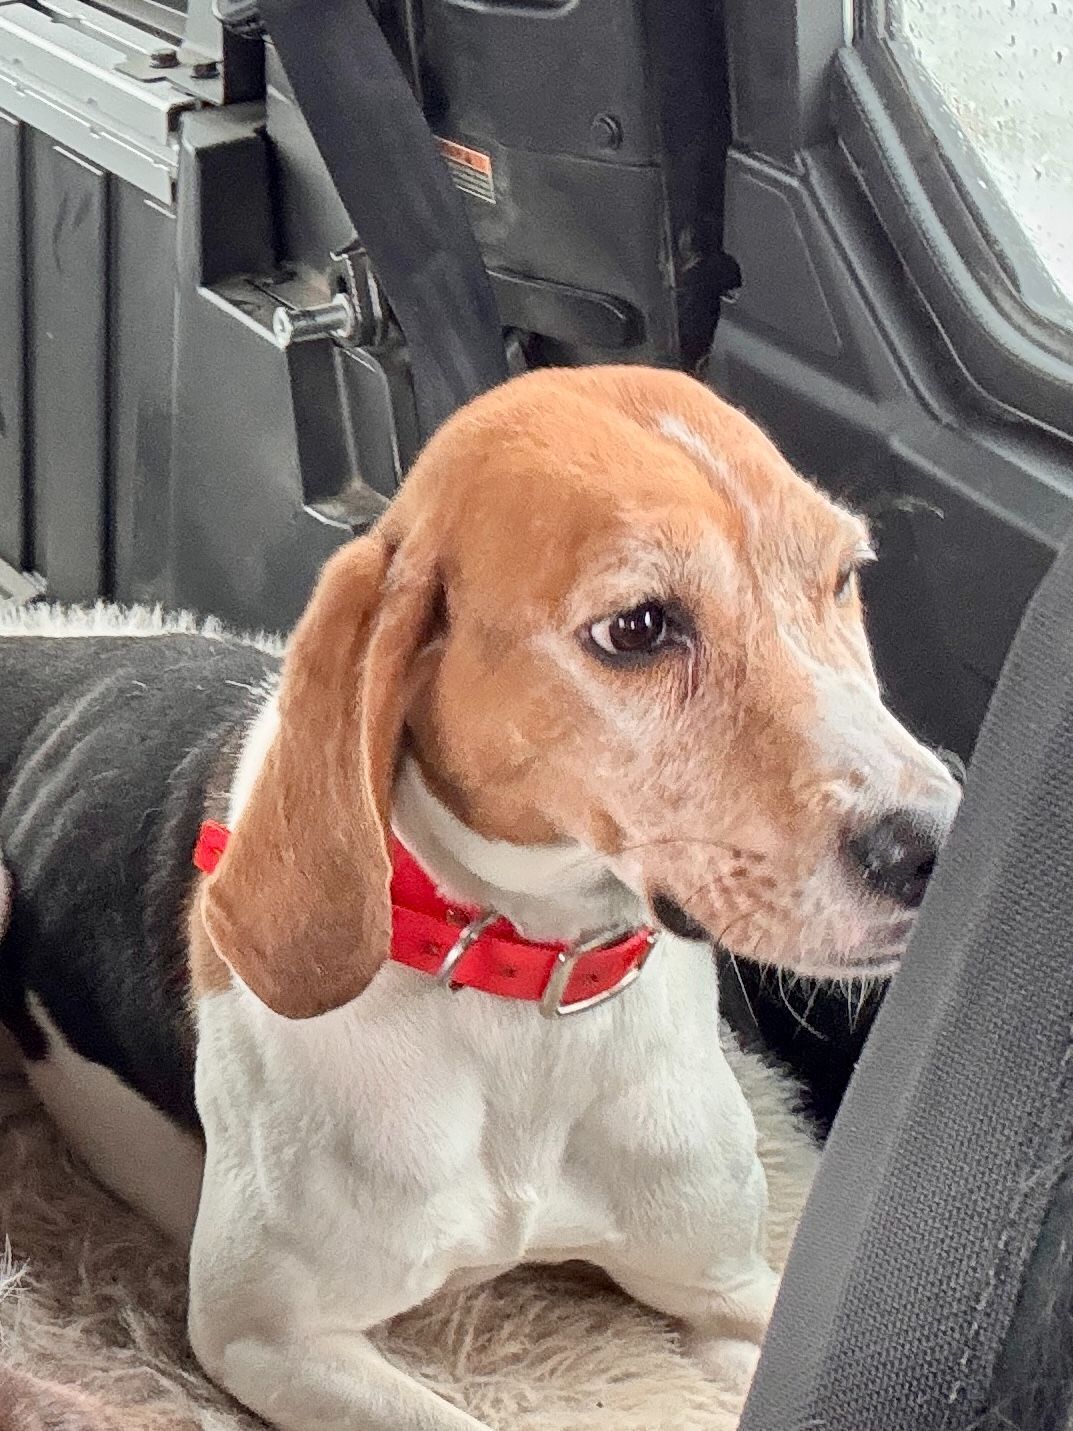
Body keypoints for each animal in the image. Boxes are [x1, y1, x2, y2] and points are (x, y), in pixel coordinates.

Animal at [0, 366, 960, 1430]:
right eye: (636, 628)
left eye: (842, 575)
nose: (938, 843)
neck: (530, 983)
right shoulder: (272, 1336)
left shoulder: (731, 1291)